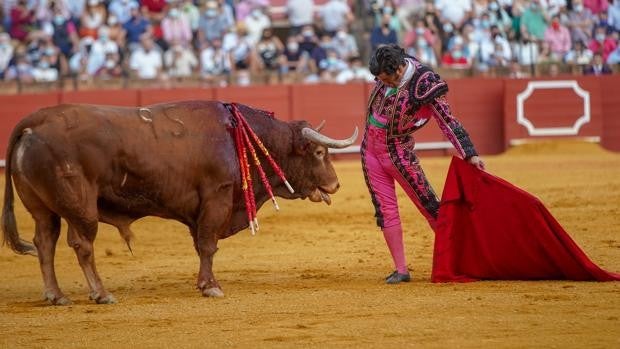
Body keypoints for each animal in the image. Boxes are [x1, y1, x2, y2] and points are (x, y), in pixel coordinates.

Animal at [2, 100, 358, 302]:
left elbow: (201, 245)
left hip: (44, 209)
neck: (235, 136)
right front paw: (211, 287)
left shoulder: (198, 210)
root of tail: (33, 123)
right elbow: (208, 245)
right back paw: (101, 294)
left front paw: (204, 283)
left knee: (45, 243)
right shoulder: (217, 198)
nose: (336, 184)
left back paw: (56, 295)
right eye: (319, 152)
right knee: (82, 245)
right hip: (80, 206)